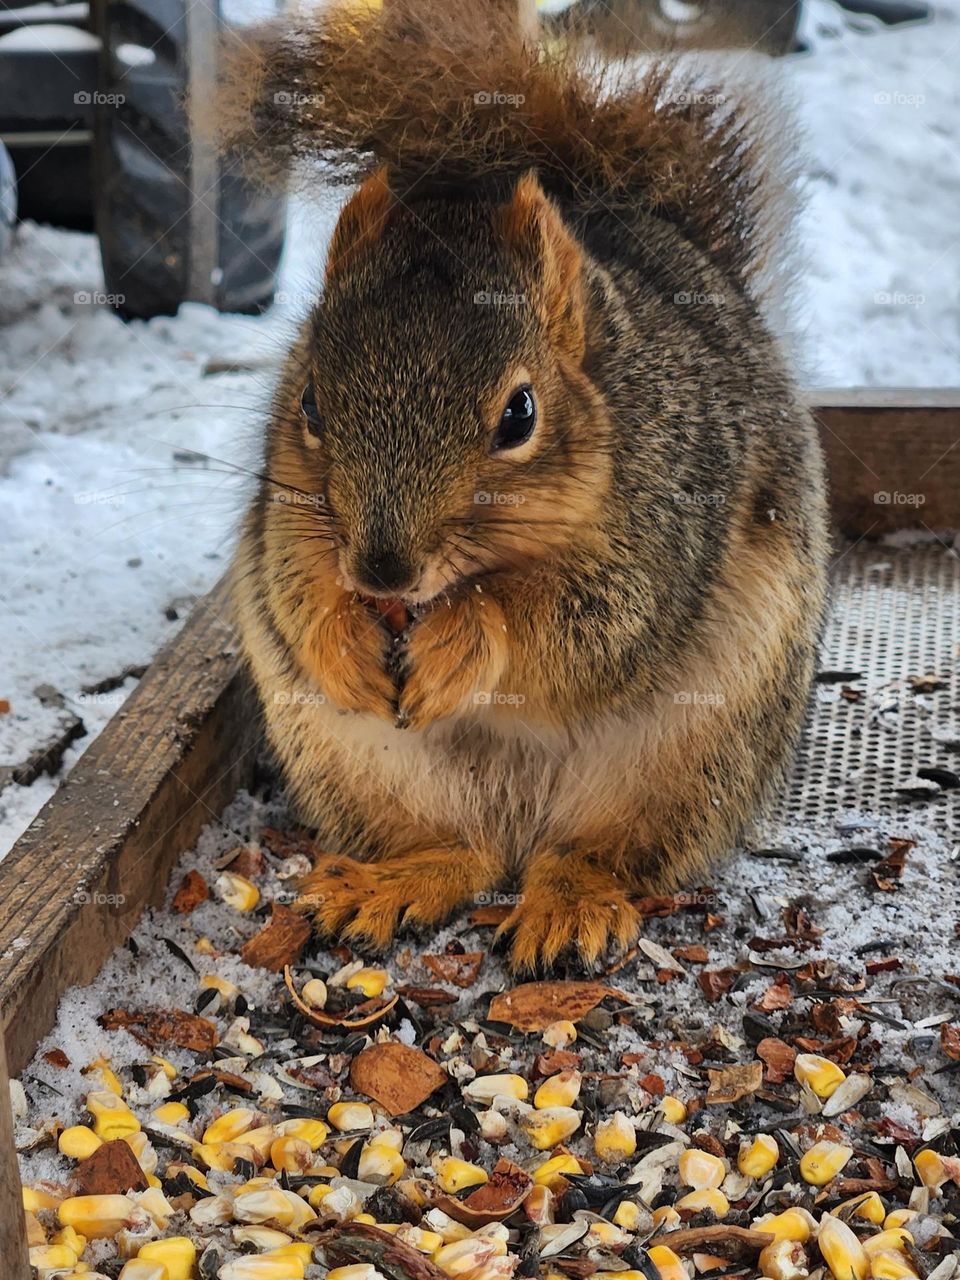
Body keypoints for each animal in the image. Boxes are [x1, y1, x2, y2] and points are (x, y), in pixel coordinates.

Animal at [220, 0, 829, 971]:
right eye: (308, 401)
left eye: (520, 415)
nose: (383, 573)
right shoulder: (289, 515)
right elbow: (297, 584)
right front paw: (342, 639)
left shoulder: (667, 519)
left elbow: (584, 624)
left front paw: (469, 636)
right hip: (350, 761)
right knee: (460, 851)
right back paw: (389, 881)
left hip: (689, 761)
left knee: (598, 855)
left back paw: (570, 904)